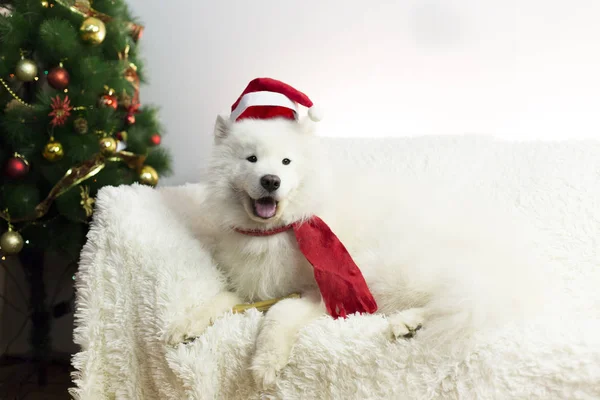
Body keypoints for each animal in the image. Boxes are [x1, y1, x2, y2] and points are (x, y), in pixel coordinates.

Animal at [166, 79, 552, 390]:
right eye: (251, 159)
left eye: (286, 163)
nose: (271, 181)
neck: (276, 231)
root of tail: (514, 267)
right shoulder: (252, 287)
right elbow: (219, 298)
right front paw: (184, 325)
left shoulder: (326, 289)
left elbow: (279, 315)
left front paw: (266, 363)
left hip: (390, 268)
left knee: (451, 302)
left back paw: (409, 322)